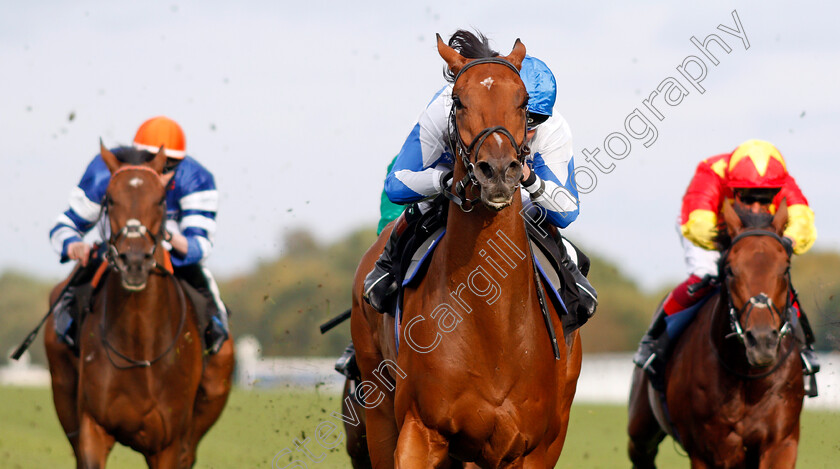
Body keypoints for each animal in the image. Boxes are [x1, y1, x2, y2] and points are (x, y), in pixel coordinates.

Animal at [46, 144, 236, 466]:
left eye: (160, 199)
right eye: (110, 199)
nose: (134, 262)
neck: (139, 348)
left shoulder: (168, 444)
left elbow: (199, 238)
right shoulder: (93, 428)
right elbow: (67, 222)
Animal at [348, 34, 576, 466]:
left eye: (523, 101)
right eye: (458, 100)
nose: (499, 171)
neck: (492, 325)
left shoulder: (529, 449)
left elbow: (569, 205)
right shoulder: (419, 430)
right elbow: (398, 179)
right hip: (378, 403)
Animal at [628, 199, 804, 466]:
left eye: (785, 268)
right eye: (730, 270)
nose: (762, 341)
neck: (747, 380)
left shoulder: (781, 442)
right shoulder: (708, 450)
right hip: (640, 427)